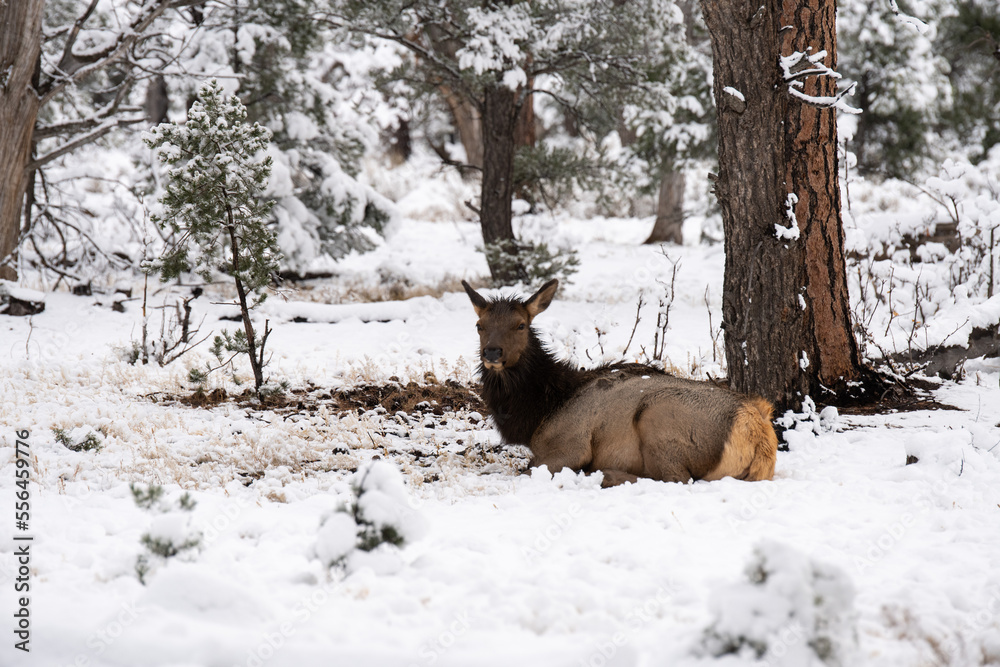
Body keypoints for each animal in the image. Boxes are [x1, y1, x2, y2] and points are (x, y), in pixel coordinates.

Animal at [461, 278, 777, 487]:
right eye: (479, 326)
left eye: (520, 325)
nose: (492, 352)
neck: (542, 410)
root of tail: (758, 432)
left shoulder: (569, 446)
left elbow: (524, 471)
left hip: (656, 416)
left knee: (675, 479)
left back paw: (604, 475)